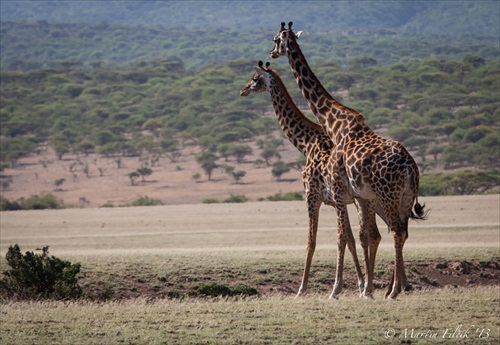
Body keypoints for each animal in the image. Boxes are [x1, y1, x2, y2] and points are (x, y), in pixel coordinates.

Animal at [240, 60, 374, 296]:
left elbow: (313, 240)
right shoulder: (336, 201)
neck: (306, 142)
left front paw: (302, 288)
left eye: (255, 79)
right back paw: (372, 286)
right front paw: (358, 283)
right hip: (363, 200)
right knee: (369, 235)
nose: (243, 90)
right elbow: (349, 238)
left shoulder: (312, 195)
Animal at [270, 21, 426, 296]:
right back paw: (396, 287)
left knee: (396, 231)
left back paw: (393, 291)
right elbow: (363, 236)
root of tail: (411, 168)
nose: (271, 53)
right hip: (404, 198)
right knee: (400, 232)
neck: (332, 122)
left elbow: (346, 237)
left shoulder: (340, 191)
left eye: (276, 39)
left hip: (388, 196)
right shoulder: (359, 197)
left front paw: (344, 289)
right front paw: (366, 288)